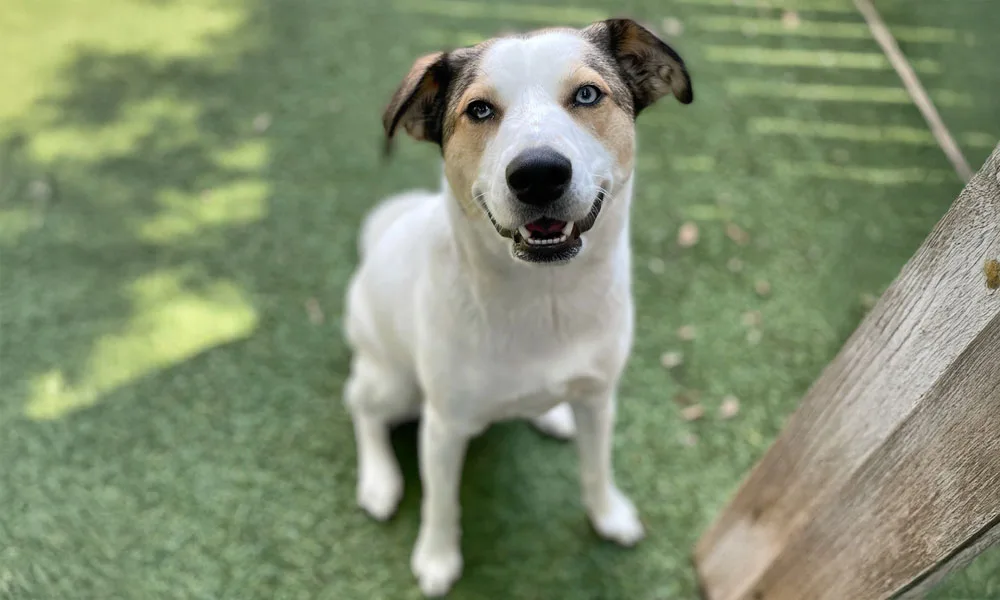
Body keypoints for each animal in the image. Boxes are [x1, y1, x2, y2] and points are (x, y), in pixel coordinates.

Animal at [340, 17, 692, 596]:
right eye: (480, 109)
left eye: (588, 94)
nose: (539, 173)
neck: (542, 301)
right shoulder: (443, 425)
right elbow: (441, 501)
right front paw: (436, 559)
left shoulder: (599, 397)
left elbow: (597, 468)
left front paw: (608, 515)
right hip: (395, 383)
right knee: (361, 406)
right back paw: (379, 481)